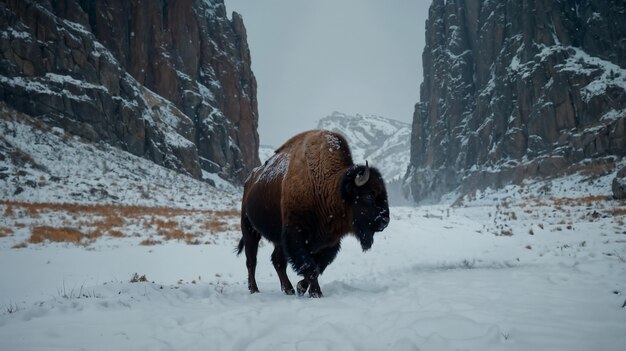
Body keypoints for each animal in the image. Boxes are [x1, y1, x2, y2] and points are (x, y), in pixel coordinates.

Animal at [235, 131, 388, 298]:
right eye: (369, 195)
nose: (384, 220)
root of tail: (249, 181)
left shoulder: (329, 242)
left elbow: (318, 266)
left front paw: (301, 288)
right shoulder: (295, 234)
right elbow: (309, 265)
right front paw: (315, 292)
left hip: (277, 239)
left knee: (277, 261)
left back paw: (288, 289)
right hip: (249, 230)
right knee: (251, 261)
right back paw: (254, 289)